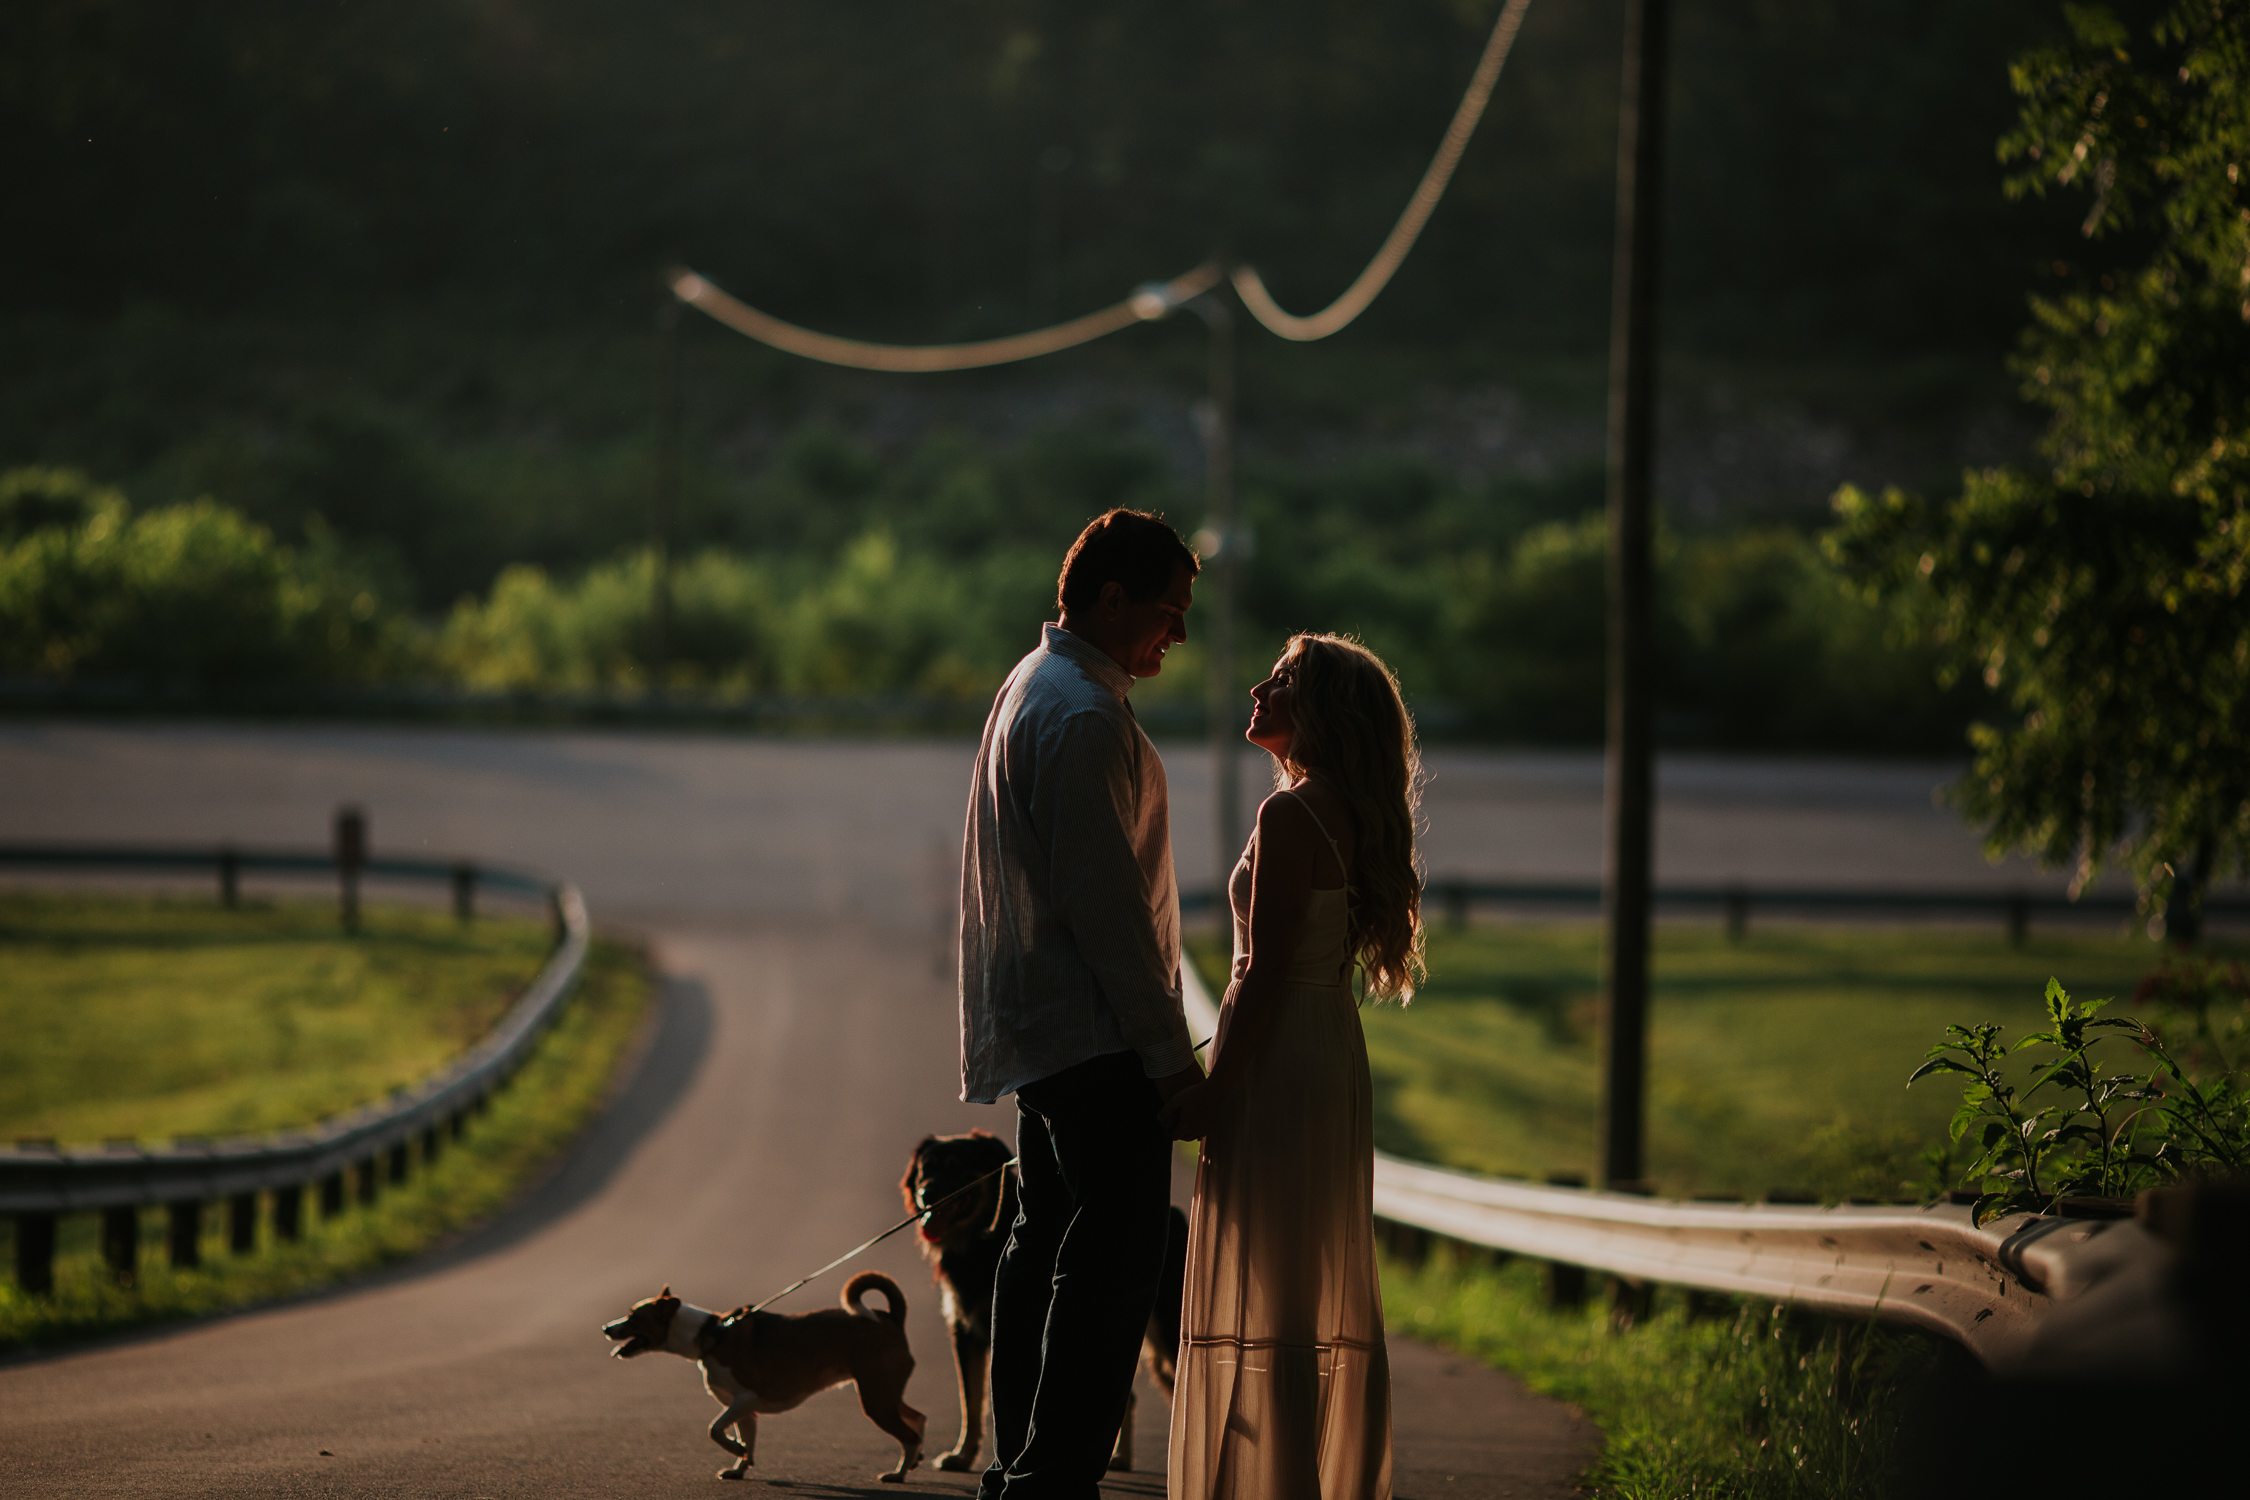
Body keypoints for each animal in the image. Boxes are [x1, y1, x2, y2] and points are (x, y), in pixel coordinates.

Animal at [594, 1268, 927, 1493]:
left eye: (633, 1318)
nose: (606, 1328)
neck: (709, 1334)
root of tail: (890, 1318)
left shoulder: (745, 1398)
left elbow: (715, 1429)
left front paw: (735, 1450)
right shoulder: (745, 1410)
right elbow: (746, 1437)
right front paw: (740, 1465)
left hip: (875, 1398)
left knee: (908, 1434)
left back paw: (899, 1474)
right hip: (883, 1393)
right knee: (917, 1418)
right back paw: (914, 1461)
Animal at [900, 1133, 1197, 1475]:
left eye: (955, 1166)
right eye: (925, 1169)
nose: (926, 1194)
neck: (983, 1239)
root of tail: (1177, 1216)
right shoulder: (966, 1331)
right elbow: (970, 1402)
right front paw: (963, 1456)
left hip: (1165, 1331)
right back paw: (1117, 1458)